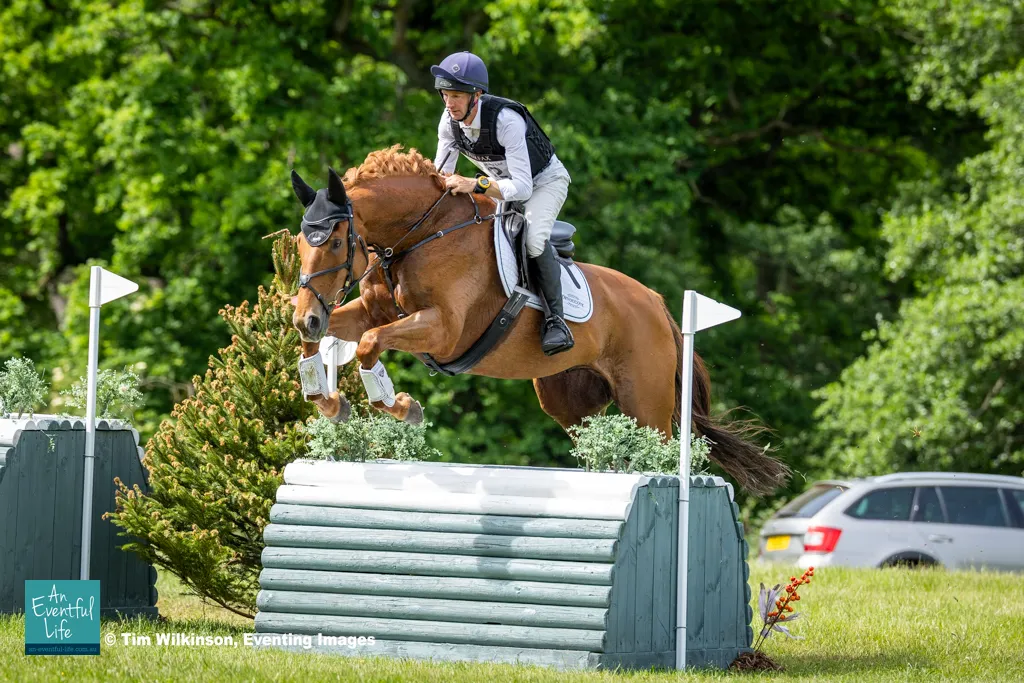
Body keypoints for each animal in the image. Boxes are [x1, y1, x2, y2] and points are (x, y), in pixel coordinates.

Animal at [288, 145, 788, 495]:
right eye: (298, 242)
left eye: (336, 242)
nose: (306, 317)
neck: (418, 236)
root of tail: (658, 304)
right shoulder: (367, 312)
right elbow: (332, 340)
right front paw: (328, 400)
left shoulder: (444, 330)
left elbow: (370, 343)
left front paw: (400, 405)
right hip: (569, 403)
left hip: (646, 403)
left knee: (659, 450)